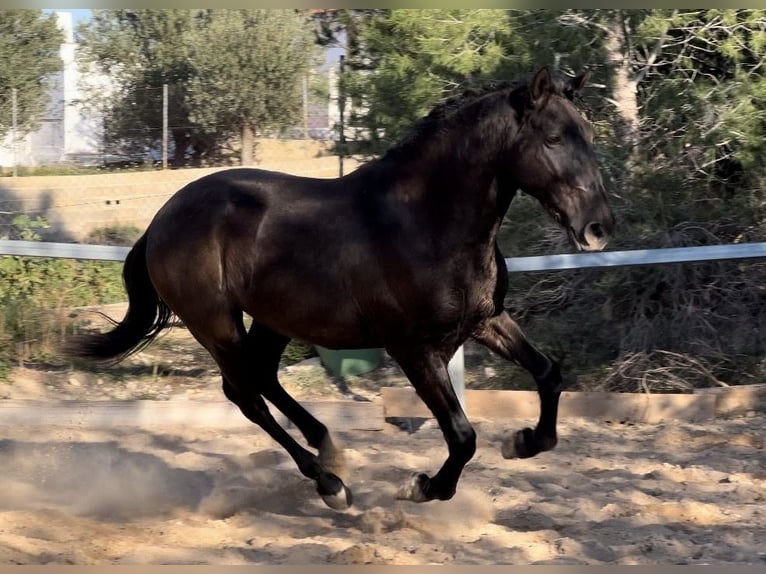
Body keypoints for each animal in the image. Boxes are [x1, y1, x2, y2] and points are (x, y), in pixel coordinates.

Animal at [66, 67, 616, 512]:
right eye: (552, 138)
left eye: (588, 133)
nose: (598, 228)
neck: (426, 222)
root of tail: (161, 219)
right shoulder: (414, 350)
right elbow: (462, 436)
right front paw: (422, 488)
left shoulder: (485, 321)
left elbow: (549, 375)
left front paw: (523, 442)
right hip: (216, 325)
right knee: (245, 394)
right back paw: (330, 484)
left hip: (273, 318)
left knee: (264, 378)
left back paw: (328, 448)